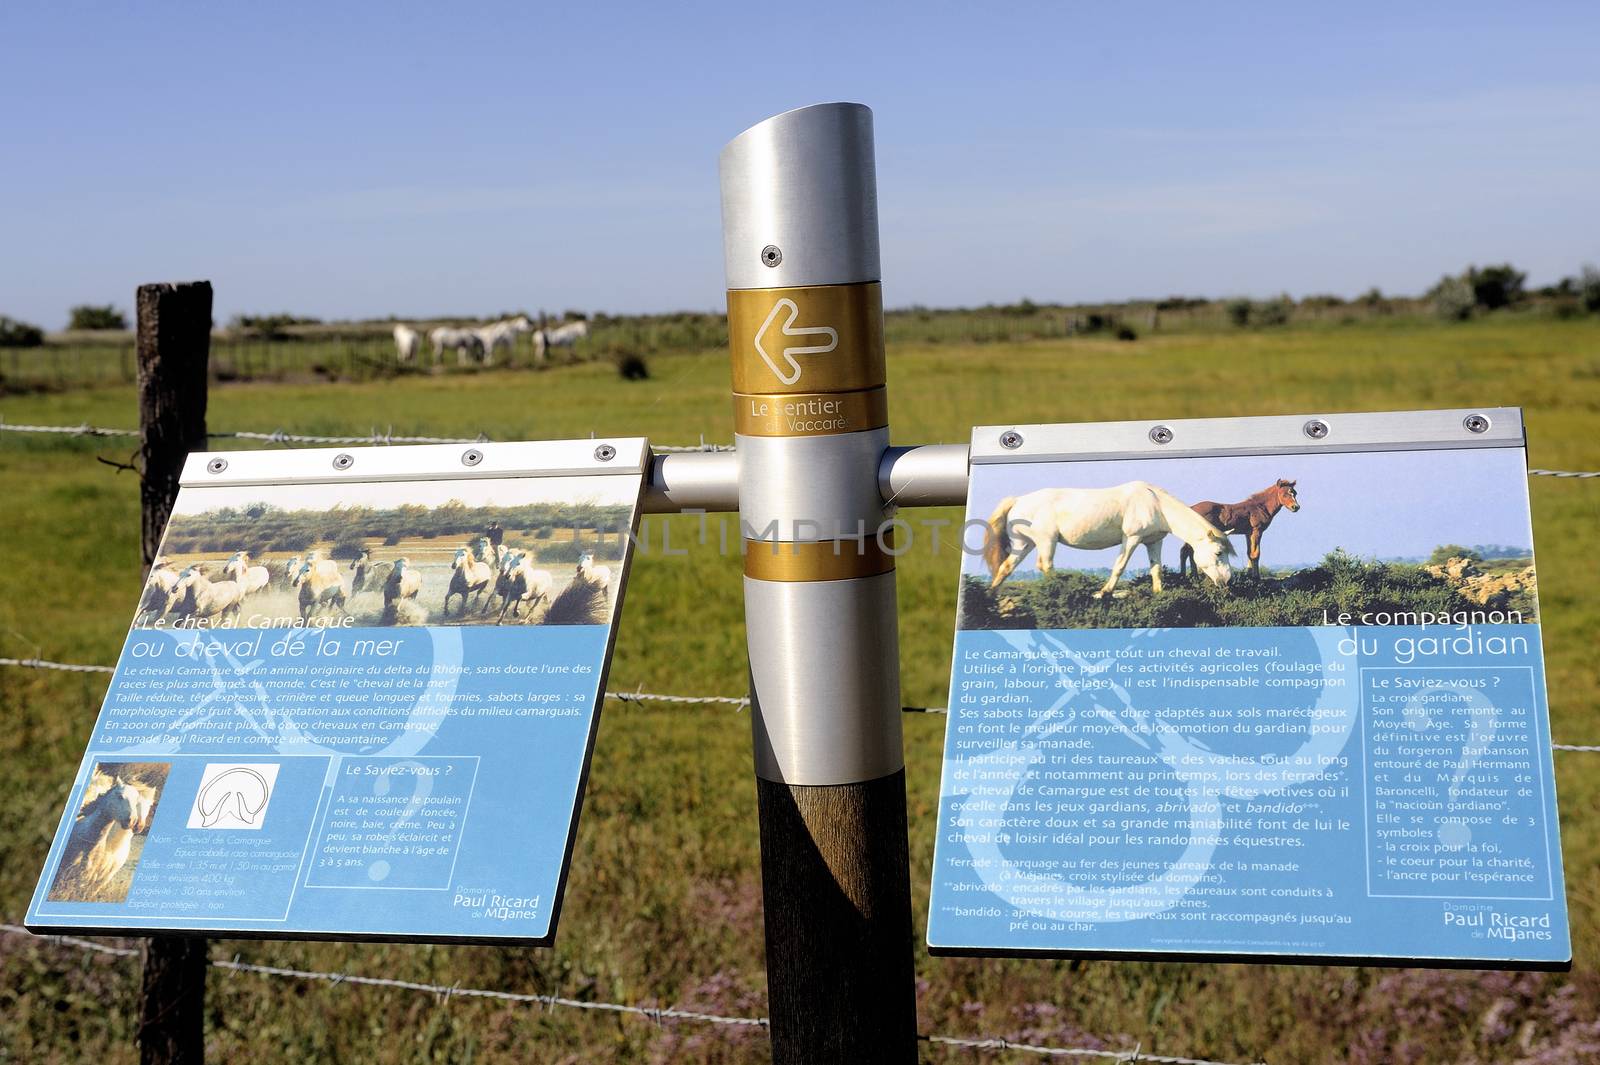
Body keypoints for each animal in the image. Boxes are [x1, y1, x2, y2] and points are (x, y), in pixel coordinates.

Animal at [979, 482, 1228, 598]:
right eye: (1218, 553)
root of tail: (1017, 500)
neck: (1155, 503)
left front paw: (1159, 593)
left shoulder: (1153, 542)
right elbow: (1120, 566)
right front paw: (1104, 592)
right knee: (1045, 565)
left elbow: (1156, 569)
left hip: (1025, 544)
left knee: (1006, 567)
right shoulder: (1131, 538)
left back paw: (991, 596)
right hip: (1046, 541)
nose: (1226, 581)